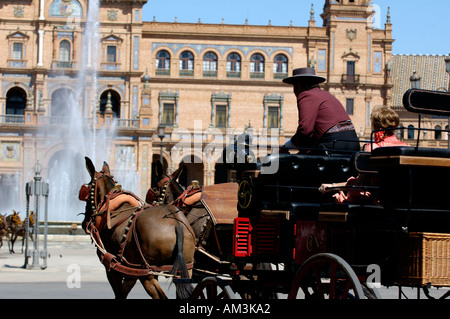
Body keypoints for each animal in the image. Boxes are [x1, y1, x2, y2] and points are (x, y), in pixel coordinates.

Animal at [80, 158, 195, 300]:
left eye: (87, 189)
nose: (84, 222)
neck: (111, 207)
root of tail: (176, 224)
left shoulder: (112, 267)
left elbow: (119, 294)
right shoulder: (131, 271)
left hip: (147, 272)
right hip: (185, 269)